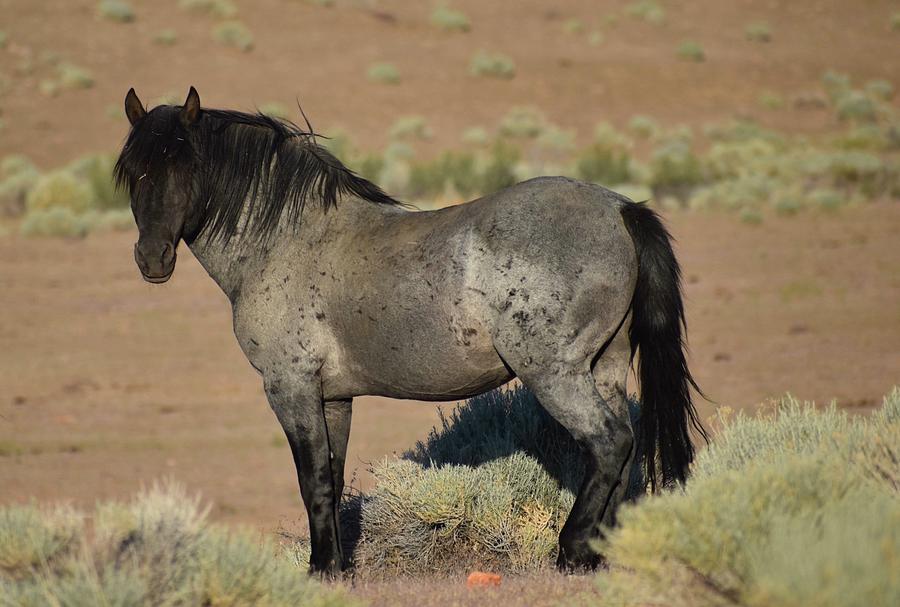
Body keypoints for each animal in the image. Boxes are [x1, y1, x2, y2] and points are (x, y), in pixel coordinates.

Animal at [114, 86, 704, 576]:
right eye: (133, 171)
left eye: (185, 166)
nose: (151, 258)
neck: (283, 240)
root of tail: (620, 208)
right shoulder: (333, 398)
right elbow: (331, 478)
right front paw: (336, 566)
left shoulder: (290, 387)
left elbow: (312, 480)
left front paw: (319, 570)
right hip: (604, 368)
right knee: (624, 449)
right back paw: (602, 552)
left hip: (556, 374)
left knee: (609, 442)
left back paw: (572, 551)